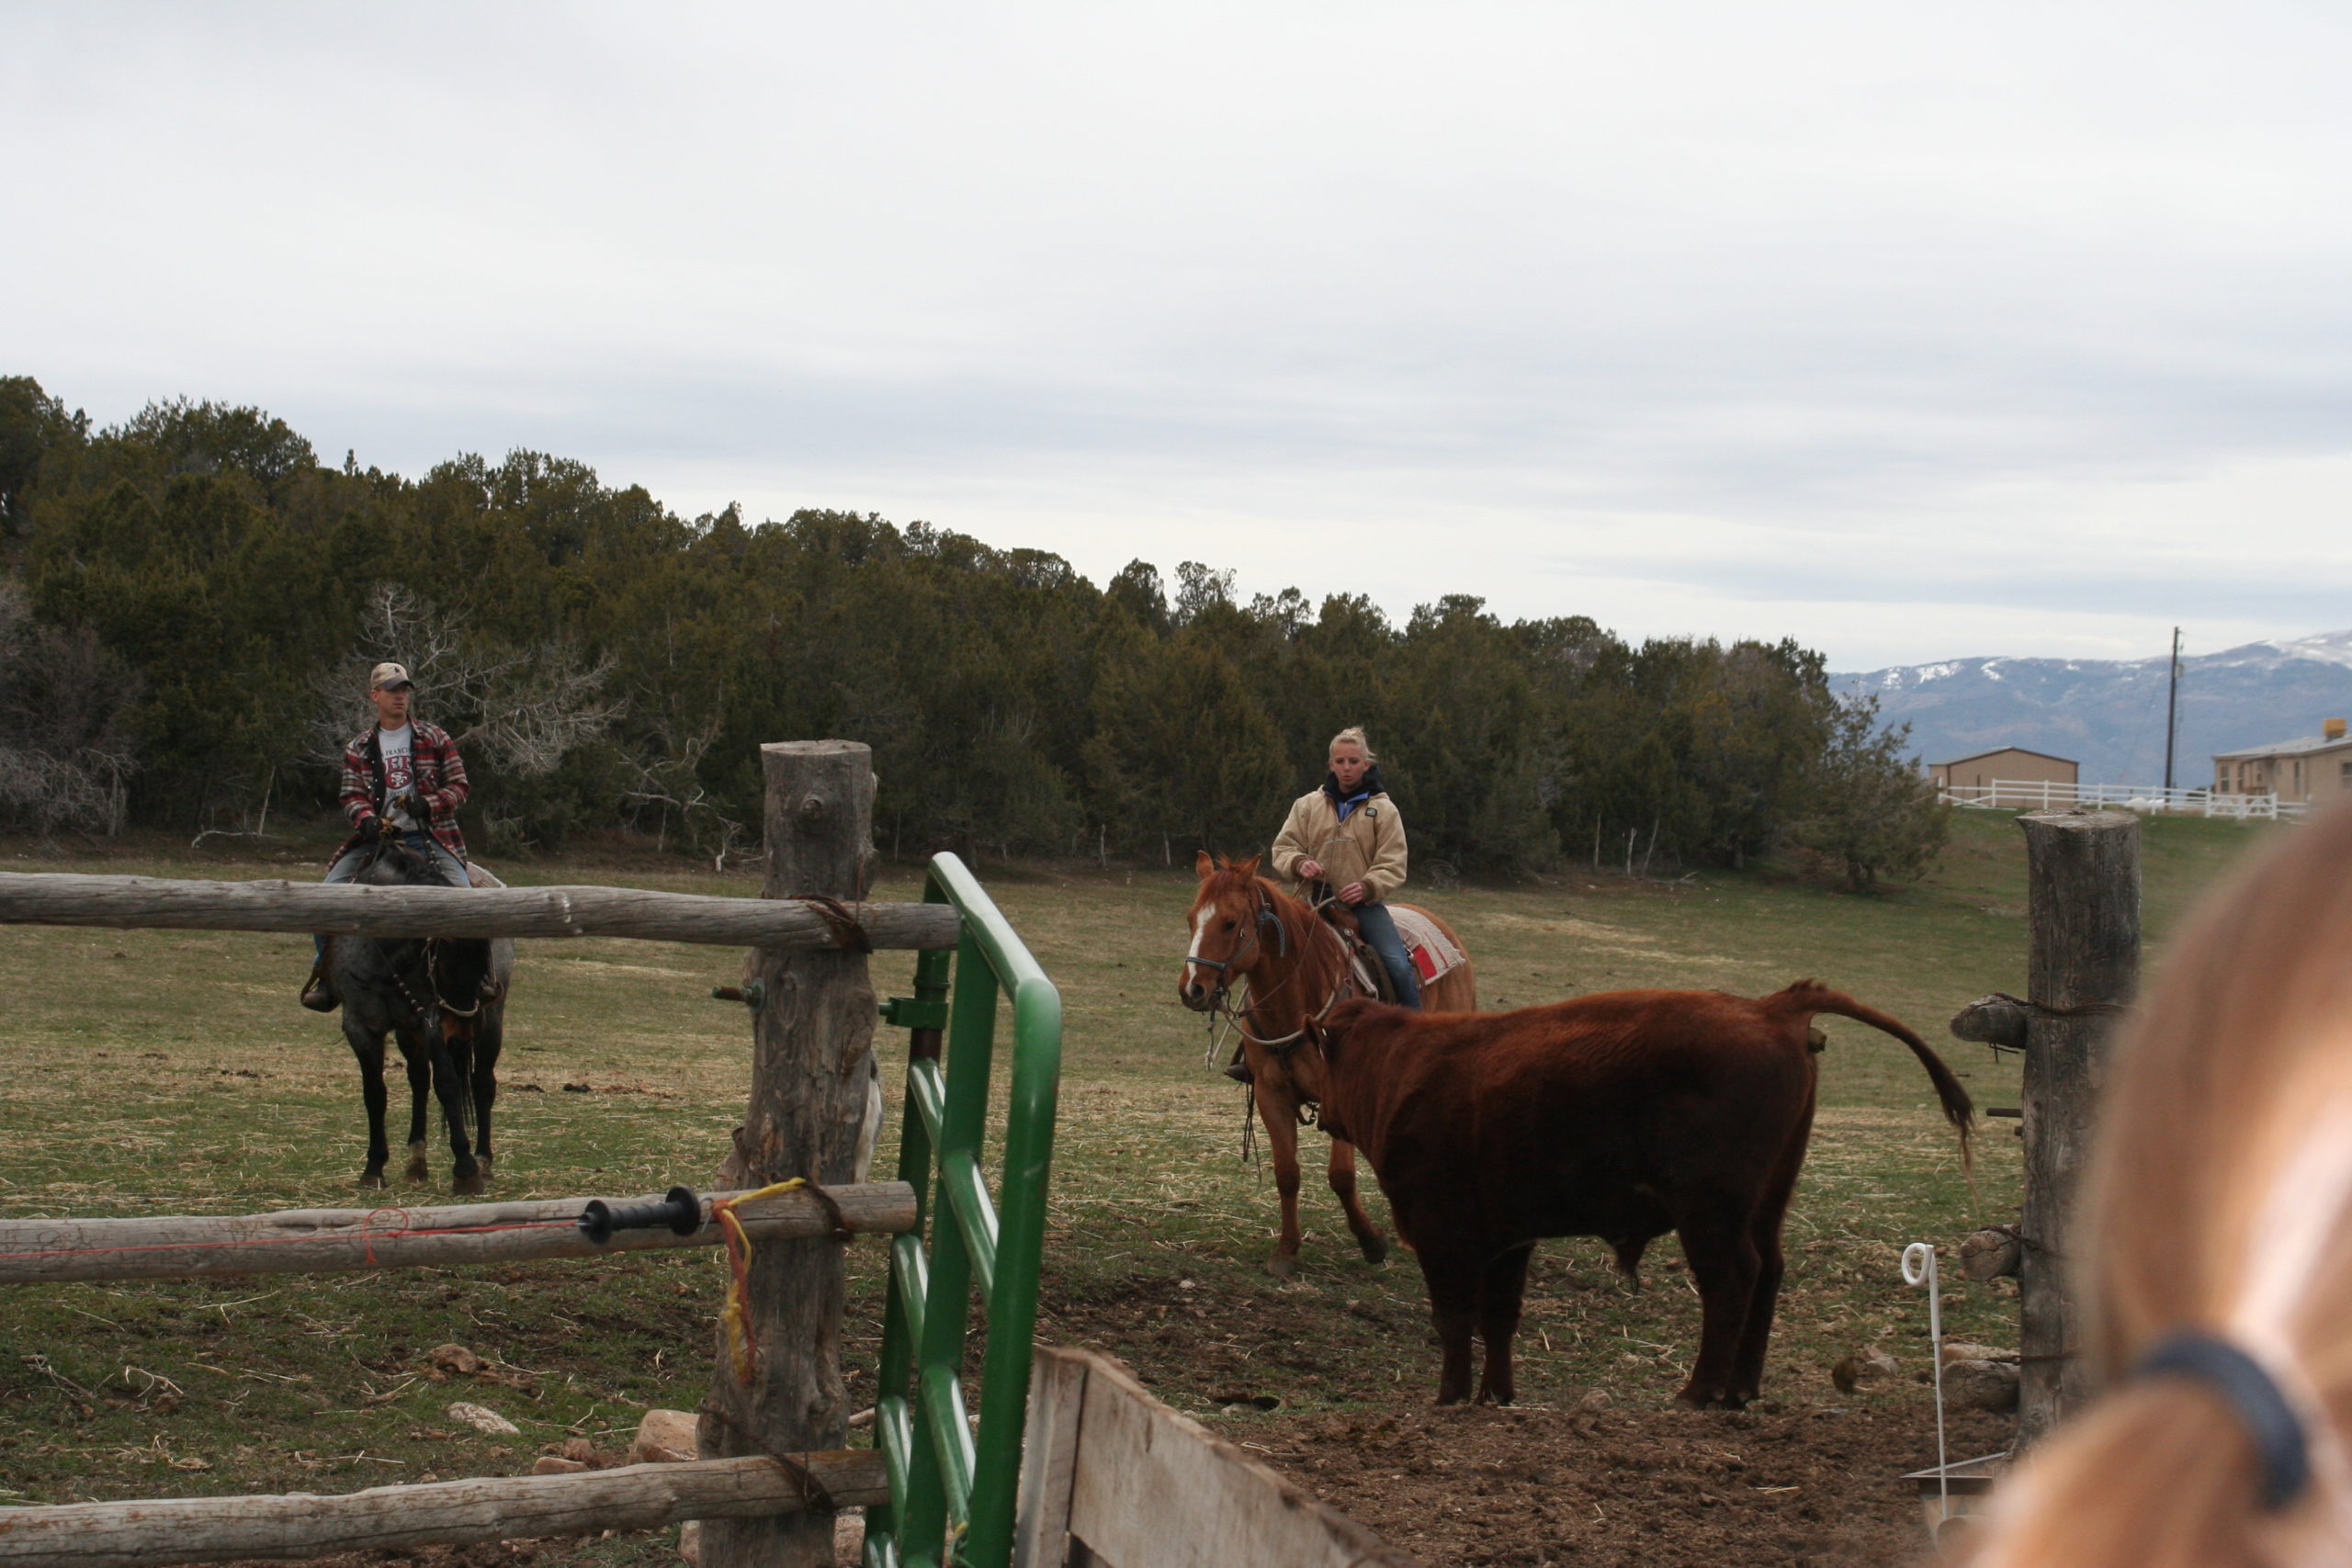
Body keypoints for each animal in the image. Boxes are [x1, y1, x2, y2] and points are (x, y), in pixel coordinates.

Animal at [329, 841, 513, 1194]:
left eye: (482, 955)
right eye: (449, 957)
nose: (460, 1029)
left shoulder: (431, 1021)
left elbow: (448, 1084)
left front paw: (466, 1170)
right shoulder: (360, 1025)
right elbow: (375, 1092)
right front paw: (374, 1168)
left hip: (489, 1023)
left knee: (482, 1083)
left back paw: (483, 1162)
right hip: (409, 1031)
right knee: (419, 1079)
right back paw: (417, 1163)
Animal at [1176, 860, 1467, 1279]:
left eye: (1230, 923)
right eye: (1191, 919)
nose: (1192, 990)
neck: (1298, 1003)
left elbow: (1341, 1176)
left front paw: (1370, 1241)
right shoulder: (1271, 1097)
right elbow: (1287, 1174)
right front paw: (1286, 1251)